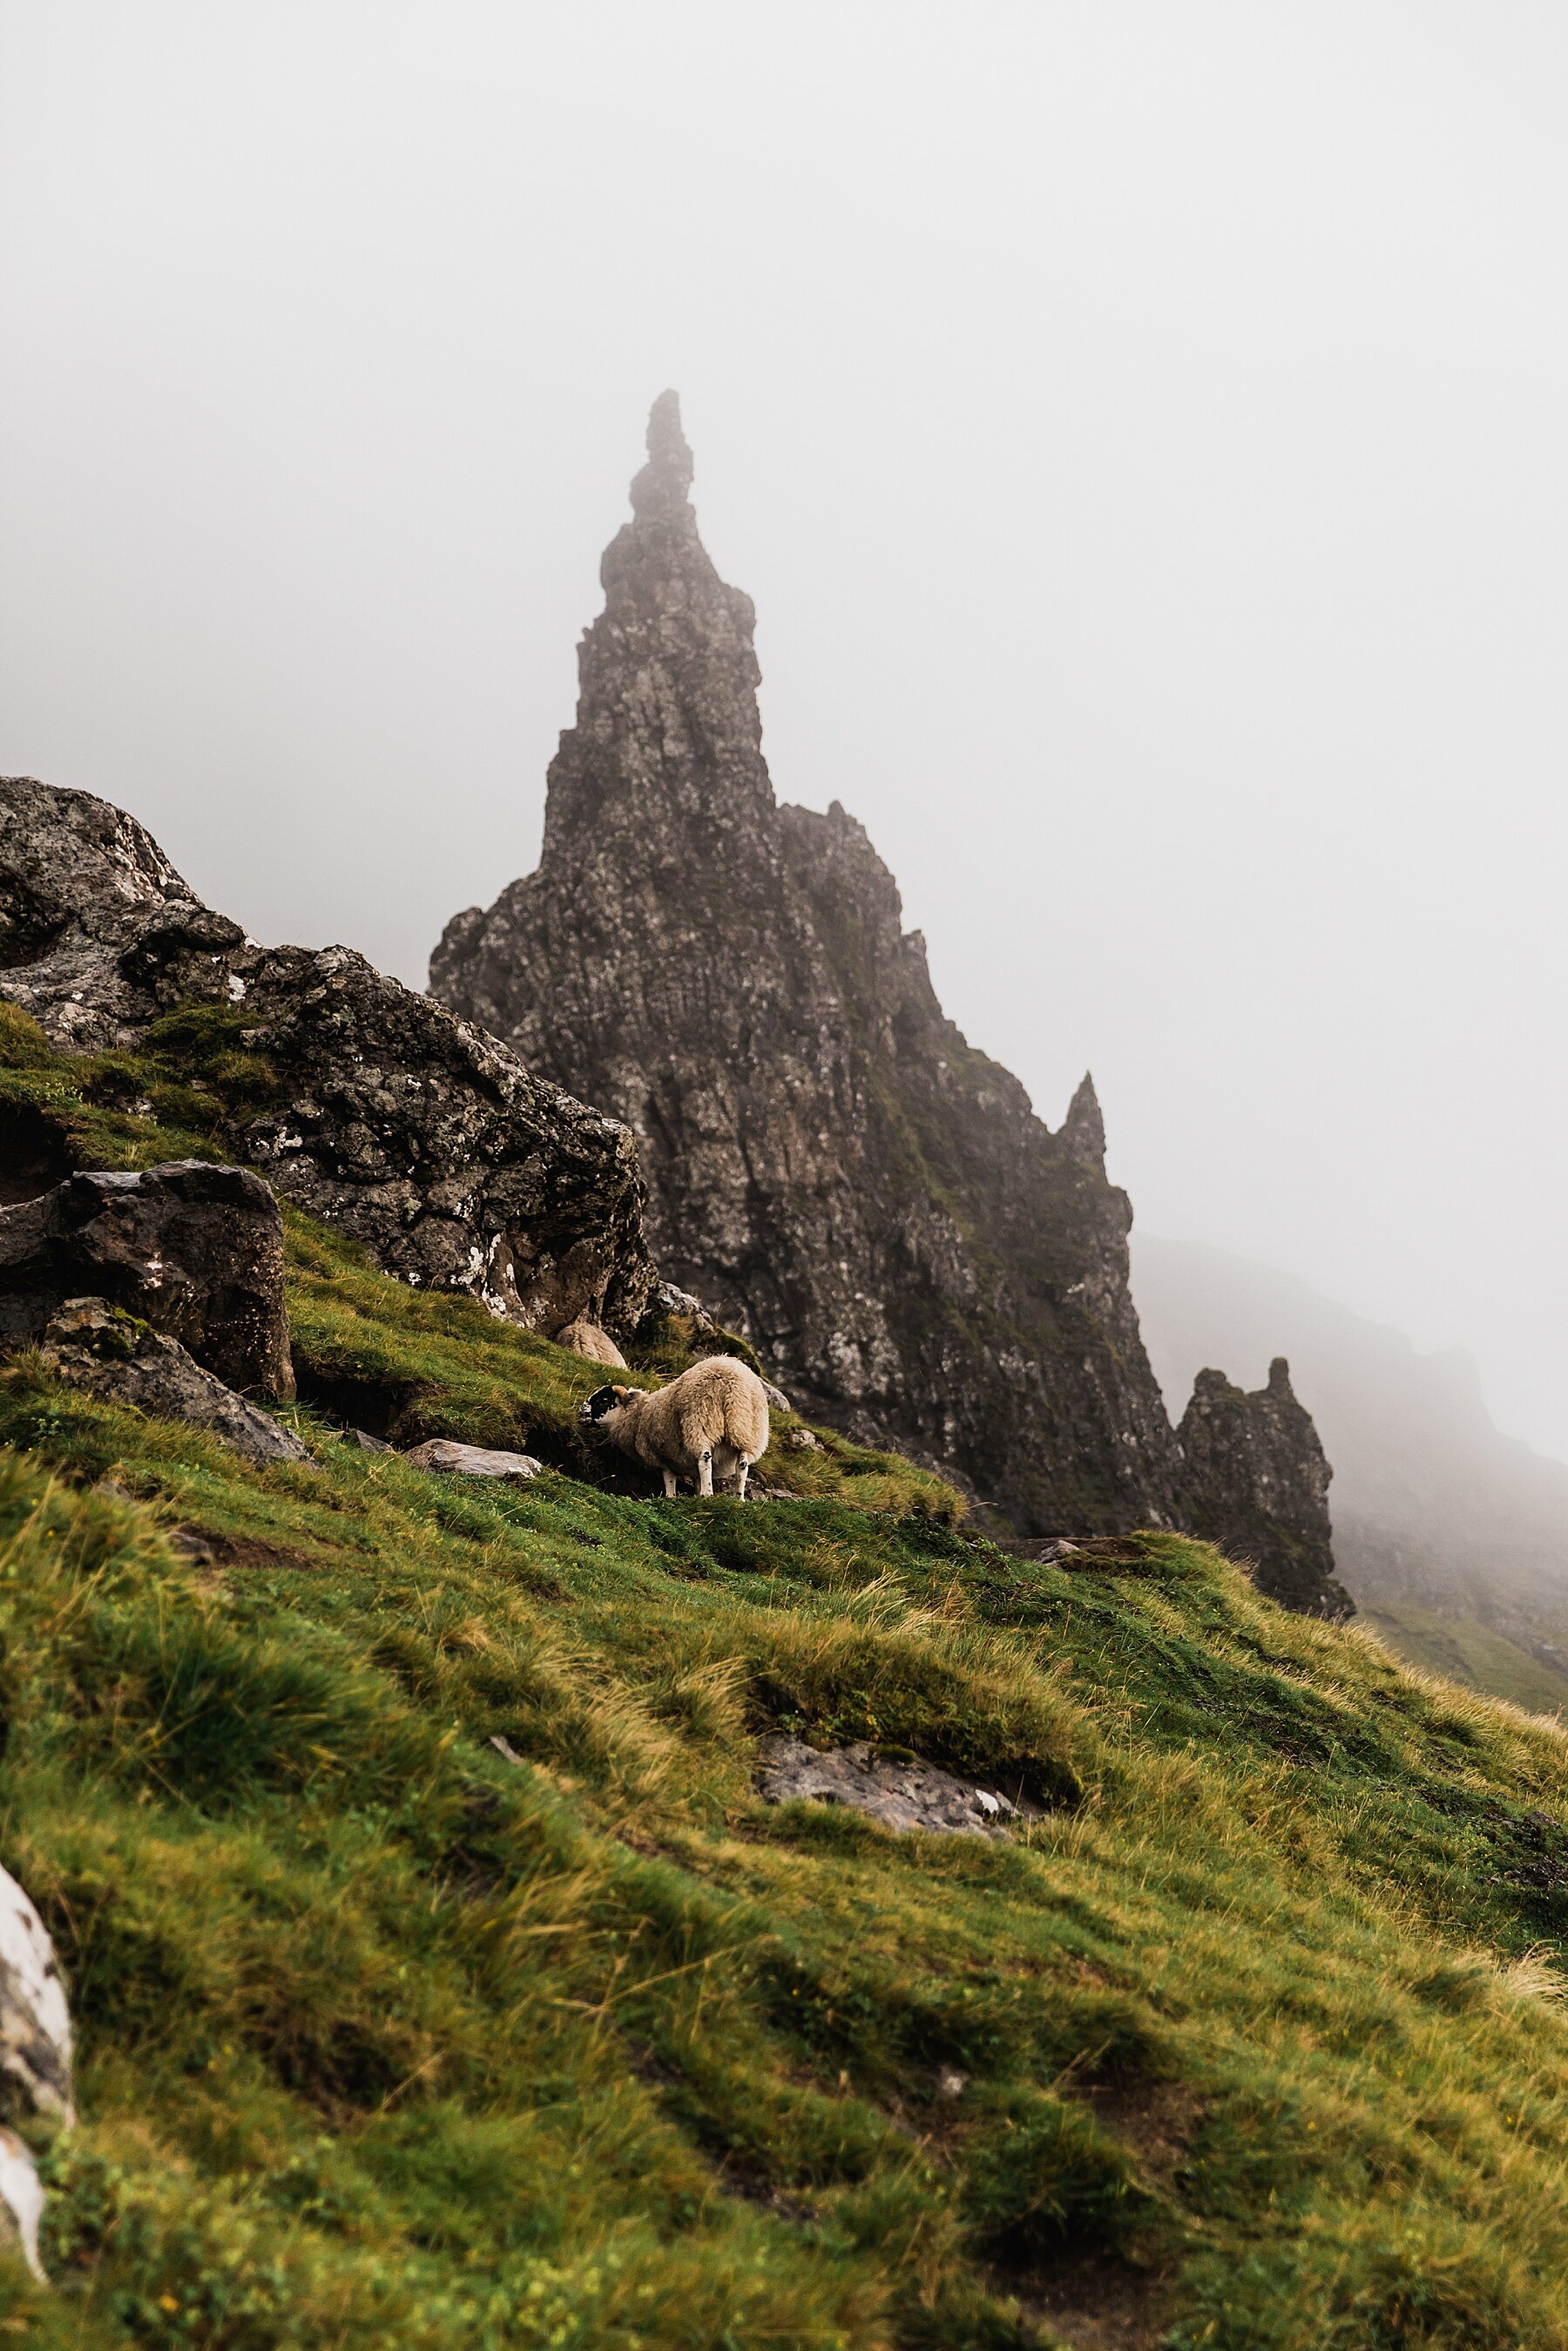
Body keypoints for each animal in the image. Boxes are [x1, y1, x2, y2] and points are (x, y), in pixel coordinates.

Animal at [580, 1354, 771, 1495]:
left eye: (603, 1401)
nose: (581, 1412)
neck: (637, 1414)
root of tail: (732, 1381)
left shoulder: (660, 1456)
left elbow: (669, 1479)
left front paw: (672, 1497)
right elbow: (696, 1479)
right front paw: (696, 1494)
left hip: (700, 1420)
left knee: (705, 1458)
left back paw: (708, 1495)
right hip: (746, 1428)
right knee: (742, 1463)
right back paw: (738, 1498)